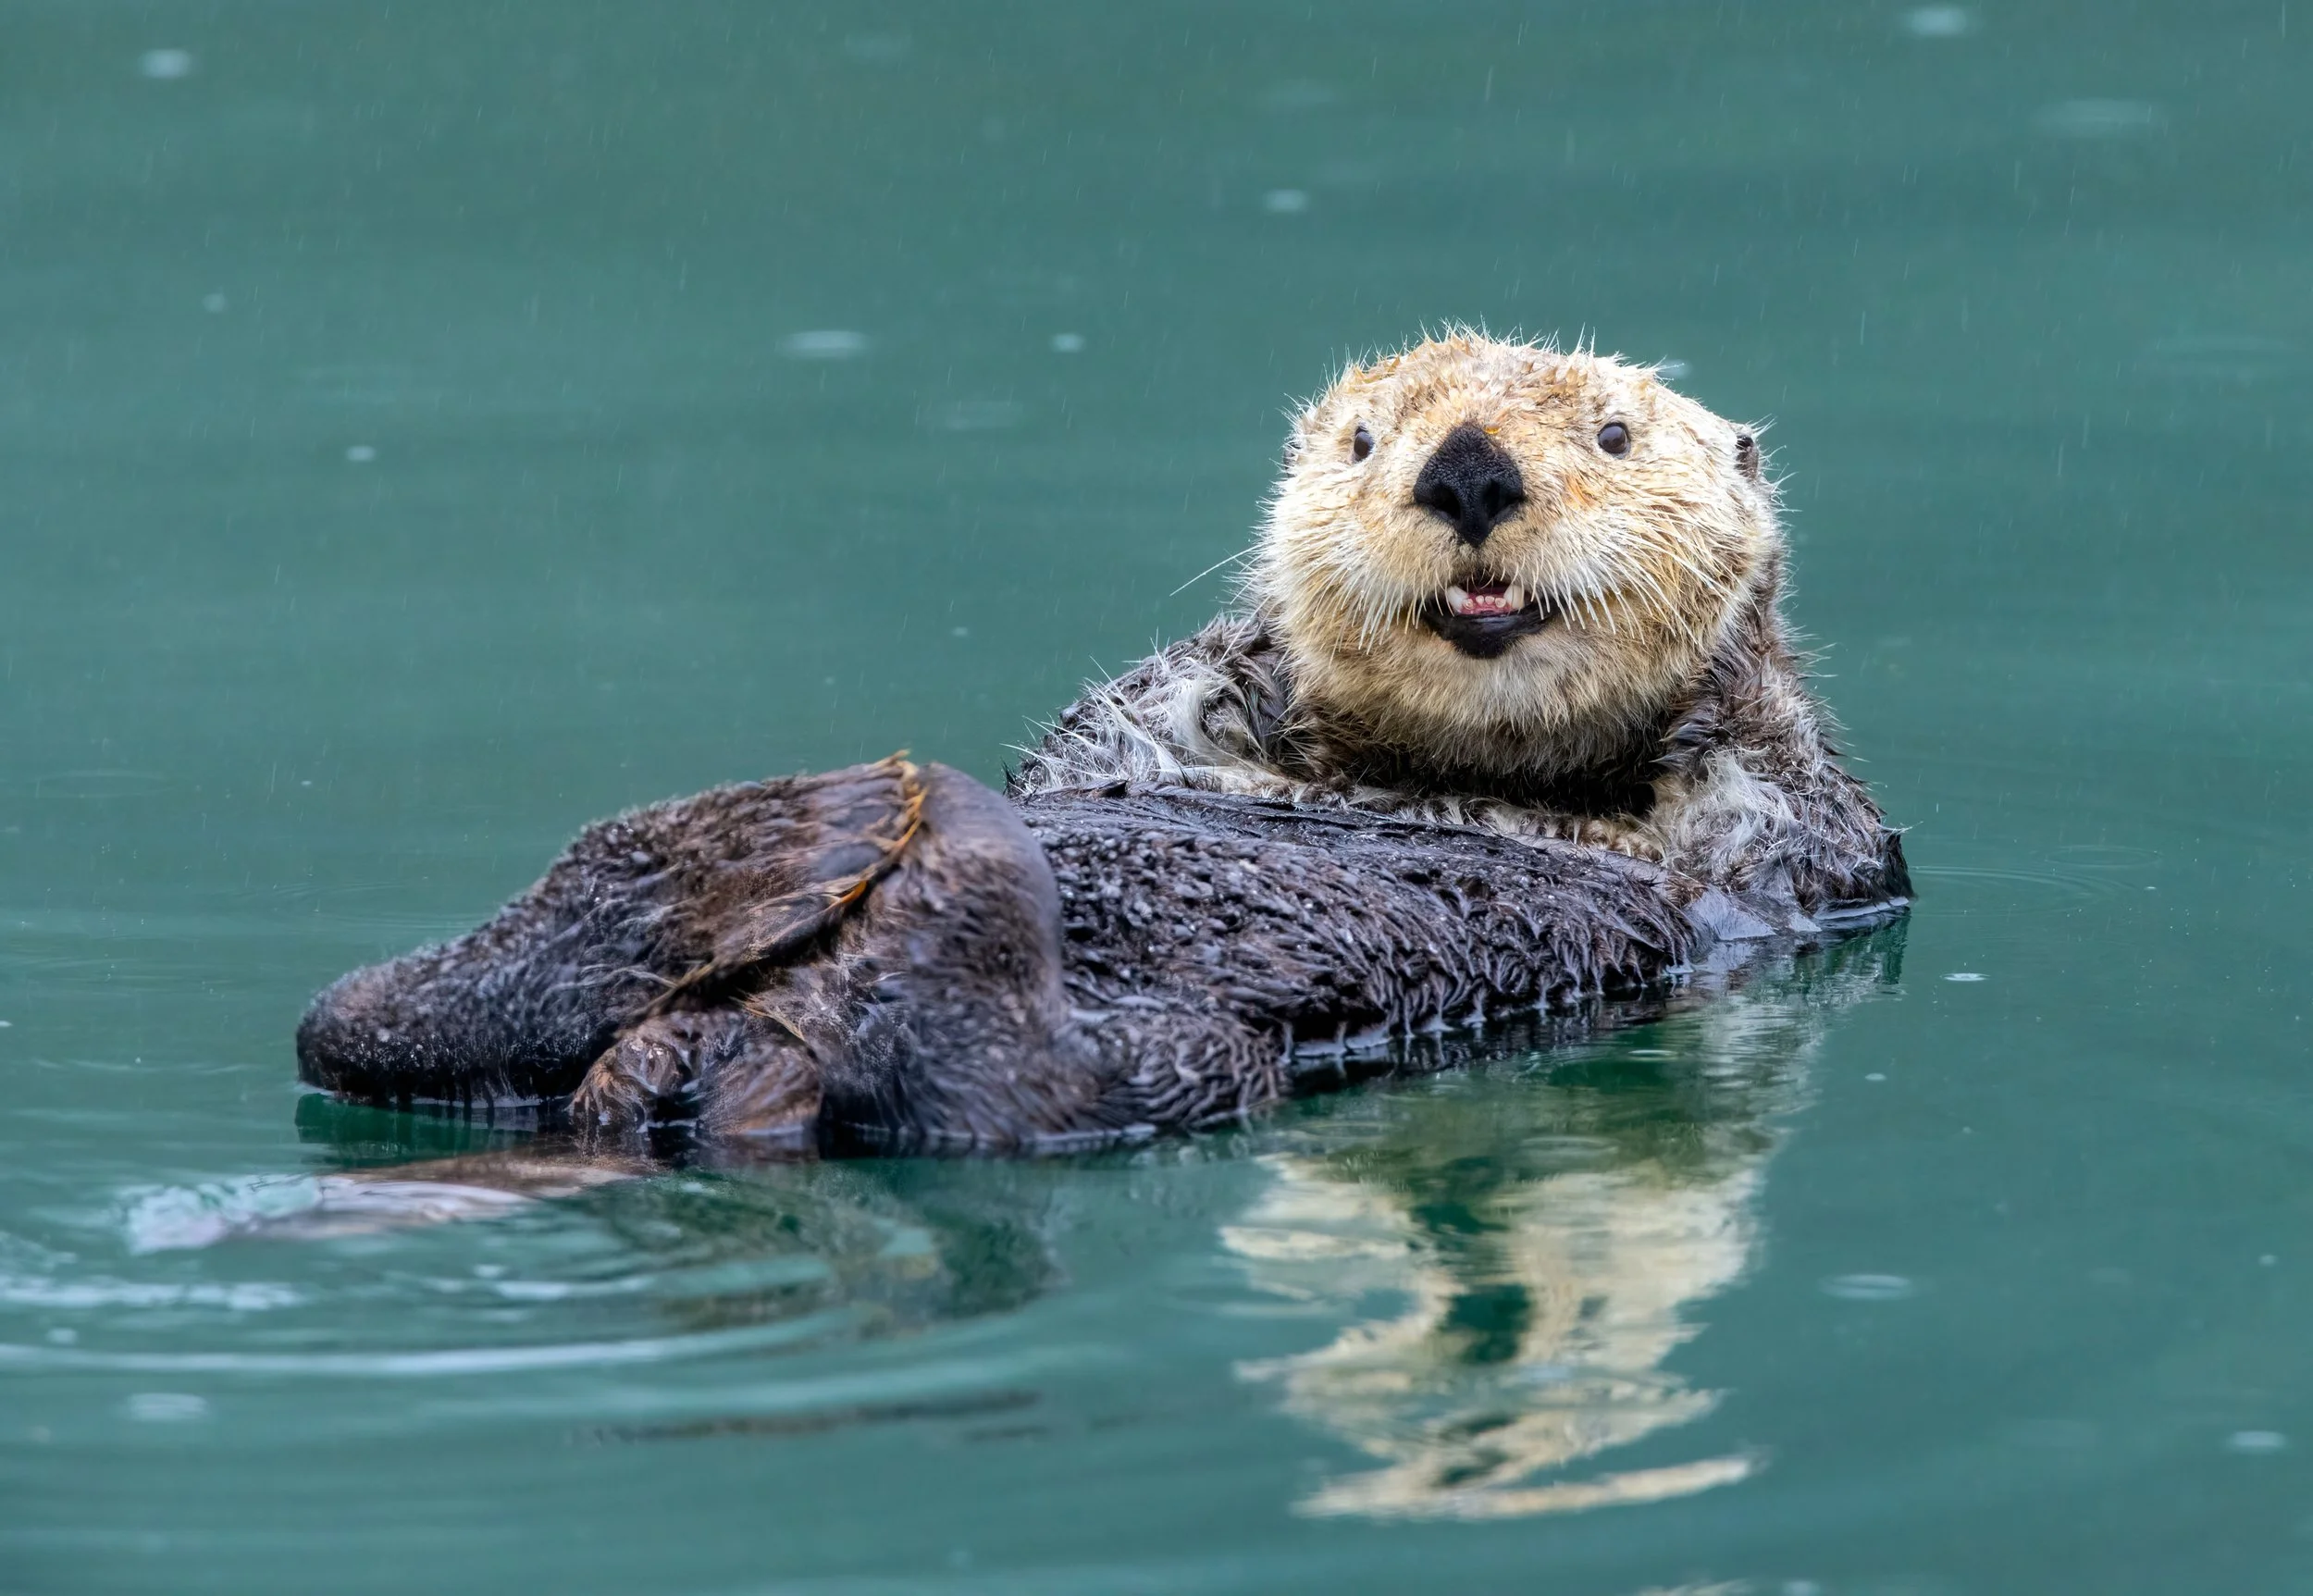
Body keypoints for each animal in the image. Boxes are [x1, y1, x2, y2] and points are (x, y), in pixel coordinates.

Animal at [295, 334, 1908, 1155]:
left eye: (1618, 435)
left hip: (1169, 1066)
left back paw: (860, 841)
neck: (1429, 770)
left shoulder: (1807, 852)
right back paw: (749, 850)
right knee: (366, 1024)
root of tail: (710, 1072)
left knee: (999, 1093)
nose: (1468, 468)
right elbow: (1135, 718)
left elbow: (1757, 789)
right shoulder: (1132, 720)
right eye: (1365, 440)